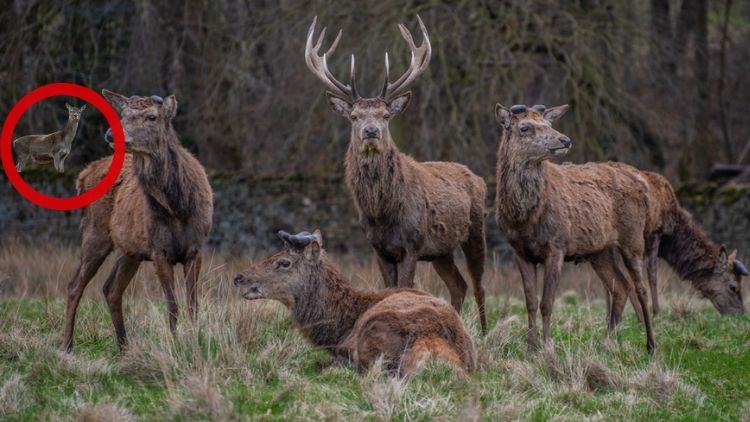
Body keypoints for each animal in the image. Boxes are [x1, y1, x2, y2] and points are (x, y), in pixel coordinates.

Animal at [63, 90, 213, 353]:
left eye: (152, 116)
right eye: (122, 114)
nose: (111, 134)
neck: (179, 207)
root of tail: (82, 176)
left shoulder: (196, 248)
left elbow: (193, 304)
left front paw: (196, 340)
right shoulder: (159, 250)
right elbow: (173, 305)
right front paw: (175, 344)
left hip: (129, 250)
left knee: (110, 289)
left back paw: (124, 347)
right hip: (95, 233)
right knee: (75, 285)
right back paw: (67, 345)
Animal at [304, 16, 488, 334]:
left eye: (386, 115)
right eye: (354, 116)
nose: (371, 131)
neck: (381, 212)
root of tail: (477, 177)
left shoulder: (411, 245)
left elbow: (406, 288)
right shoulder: (378, 249)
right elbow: (388, 290)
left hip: (476, 231)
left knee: (479, 286)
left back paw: (487, 333)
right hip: (441, 251)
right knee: (459, 285)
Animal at [494, 103, 655, 353]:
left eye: (549, 123)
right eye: (525, 127)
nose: (565, 139)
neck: (524, 218)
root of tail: (642, 184)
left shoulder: (557, 245)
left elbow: (547, 303)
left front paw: (546, 346)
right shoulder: (519, 252)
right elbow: (530, 303)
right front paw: (530, 348)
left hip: (633, 238)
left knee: (641, 288)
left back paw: (651, 344)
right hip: (600, 250)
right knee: (620, 287)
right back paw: (605, 342)